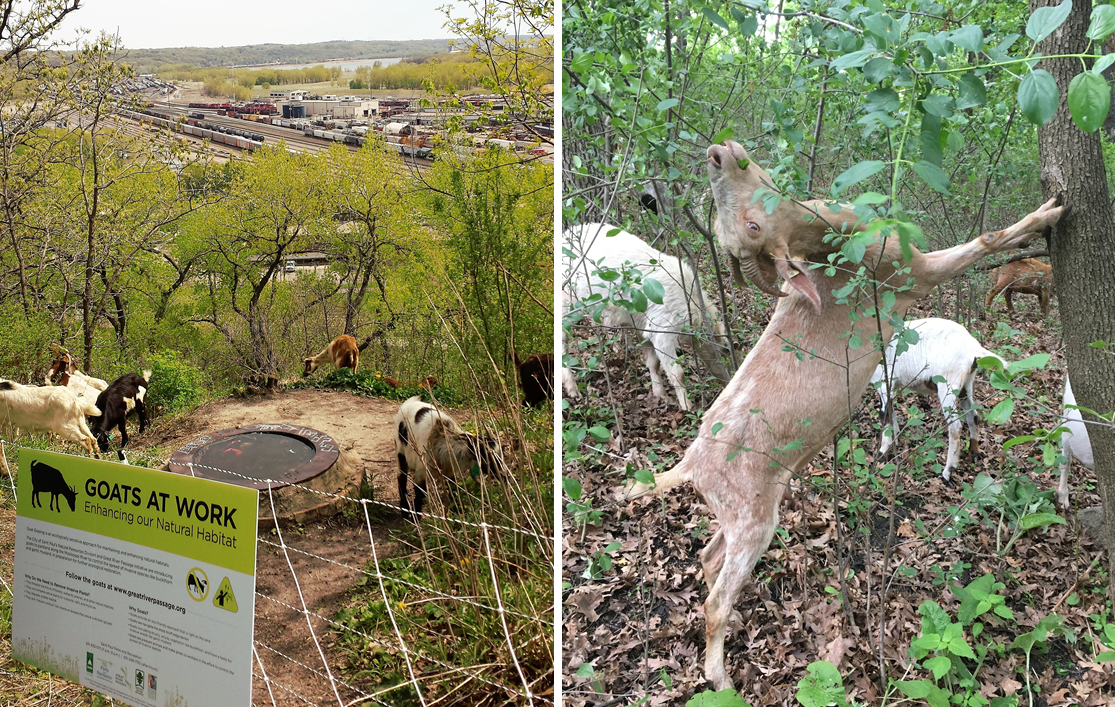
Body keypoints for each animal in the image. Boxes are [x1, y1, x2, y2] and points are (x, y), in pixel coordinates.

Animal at [561, 223, 735, 410]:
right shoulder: (663, 331)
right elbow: (678, 373)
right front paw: (687, 406)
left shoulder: (643, 326)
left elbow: (654, 363)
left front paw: (660, 395)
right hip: (567, 301)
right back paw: (572, 387)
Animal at [869, 318, 1012, 479]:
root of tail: (973, 347)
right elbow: (891, 411)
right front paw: (896, 438)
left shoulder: (883, 381)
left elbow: (884, 415)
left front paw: (881, 455)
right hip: (966, 383)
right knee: (973, 416)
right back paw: (973, 454)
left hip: (947, 384)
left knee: (955, 427)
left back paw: (947, 472)